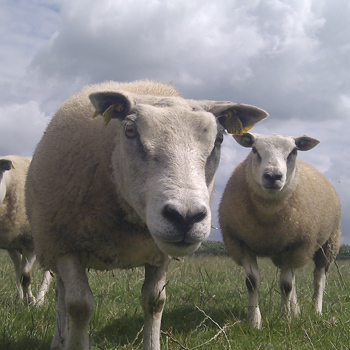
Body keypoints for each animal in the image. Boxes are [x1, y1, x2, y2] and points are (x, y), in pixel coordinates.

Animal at [0, 154, 52, 304]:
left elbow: (25, 277)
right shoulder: (11, 243)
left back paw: (40, 299)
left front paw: (31, 301)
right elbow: (18, 274)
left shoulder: (31, 243)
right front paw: (22, 298)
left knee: (48, 272)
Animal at [26, 80, 270, 350]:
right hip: (52, 245)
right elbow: (80, 306)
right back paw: (60, 339)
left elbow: (155, 301)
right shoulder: (66, 246)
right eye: (130, 130)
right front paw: (76, 340)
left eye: (218, 139)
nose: (185, 217)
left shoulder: (158, 254)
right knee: (62, 294)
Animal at [219, 133, 342, 328]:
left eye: (293, 151)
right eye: (254, 150)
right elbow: (252, 282)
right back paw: (296, 310)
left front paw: (285, 320)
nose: (272, 176)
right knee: (294, 279)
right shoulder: (241, 243)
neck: (268, 216)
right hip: (284, 252)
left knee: (319, 279)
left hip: (329, 244)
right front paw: (254, 321)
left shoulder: (298, 245)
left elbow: (285, 285)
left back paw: (316, 311)